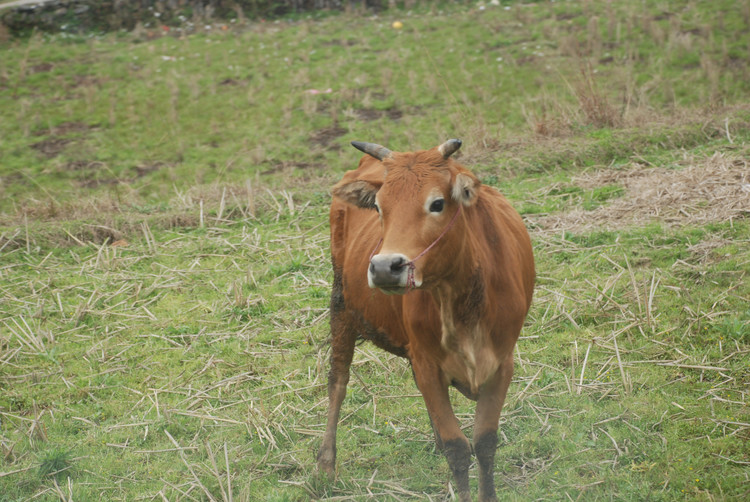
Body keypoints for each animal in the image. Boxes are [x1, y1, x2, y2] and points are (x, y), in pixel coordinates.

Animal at [318, 138, 536, 502]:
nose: (385, 267)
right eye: (379, 208)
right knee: (338, 380)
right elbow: (458, 448)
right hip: (342, 303)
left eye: (437, 203)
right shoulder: (428, 363)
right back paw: (325, 465)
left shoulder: (501, 363)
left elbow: (484, 442)